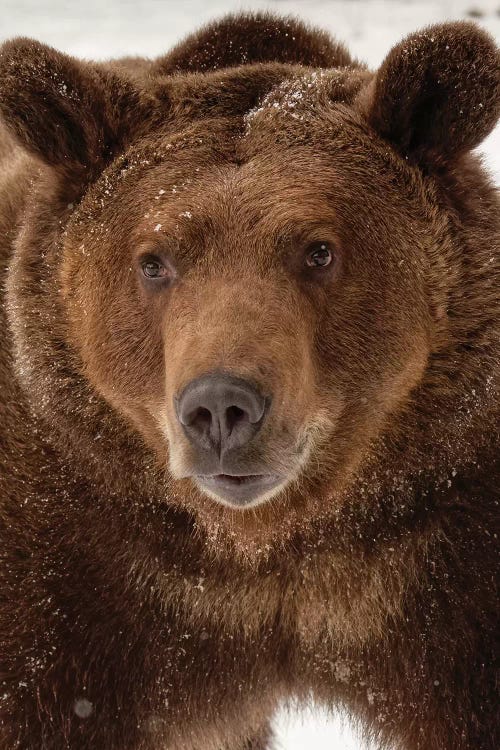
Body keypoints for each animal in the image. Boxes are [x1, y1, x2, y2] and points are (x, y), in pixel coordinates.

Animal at [0, 11, 498, 750]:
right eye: (153, 260)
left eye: (319, 250)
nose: (219, 407)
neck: (259, 550)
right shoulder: (69, 573)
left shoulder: (445, 556)